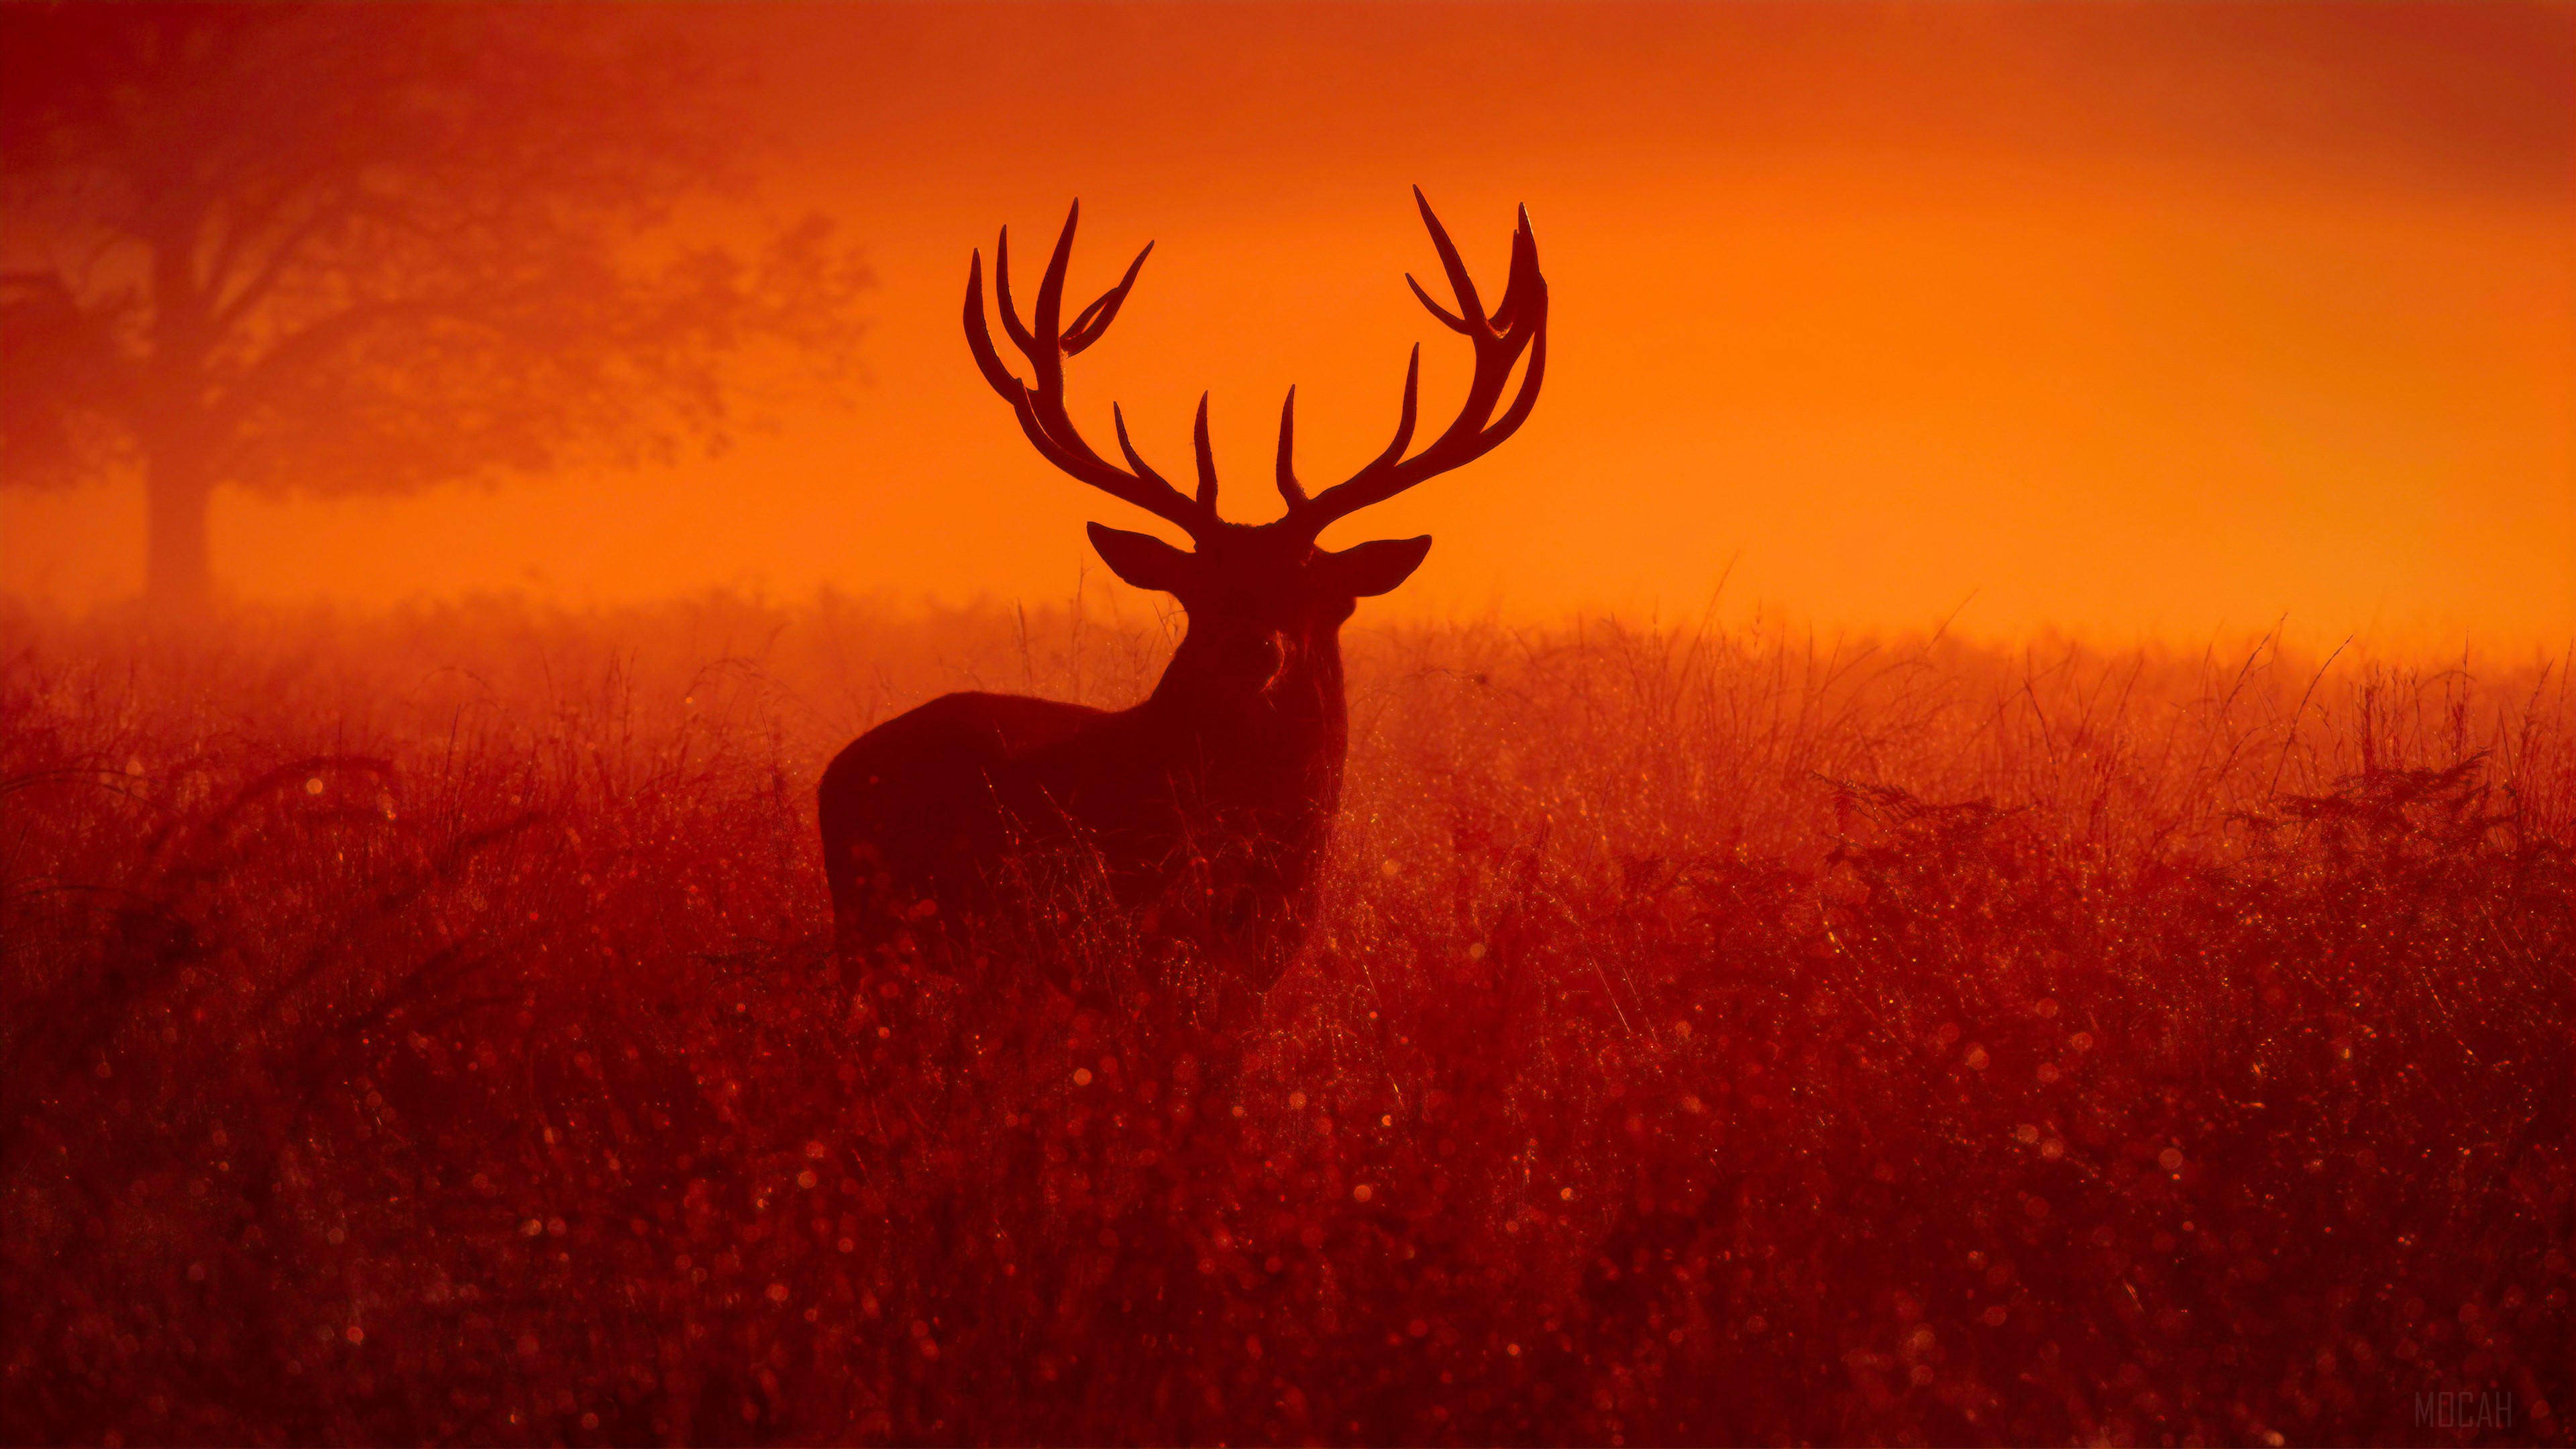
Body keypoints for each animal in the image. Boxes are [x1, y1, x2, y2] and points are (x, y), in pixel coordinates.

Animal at [817, 189, 1546, 1035]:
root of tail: (833, 773)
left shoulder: (1262, 962)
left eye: (1315, 591)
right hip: (878, 930)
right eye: (1199, 591)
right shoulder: (1123, 946)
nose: (1253, 649)